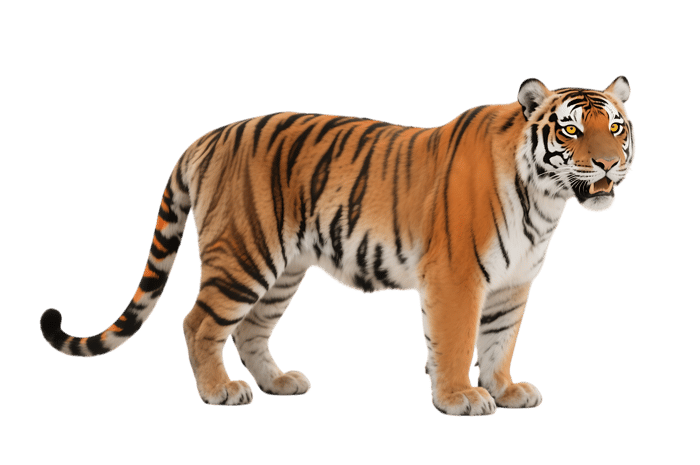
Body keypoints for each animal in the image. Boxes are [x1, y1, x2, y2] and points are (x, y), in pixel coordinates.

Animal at [40, 76, 635, 417]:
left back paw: (278, 382)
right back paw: (219, 391)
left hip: (282, 272)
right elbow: (456, 342)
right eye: (572, 131)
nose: (608, 163)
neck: (545, 200)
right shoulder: (457, 277)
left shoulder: (513, 285)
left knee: (251, 331)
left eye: (616, 127)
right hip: (244, 256)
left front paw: (506, 389)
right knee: (199, 323)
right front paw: (459, 398)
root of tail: (206, 137)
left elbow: (499, 343)